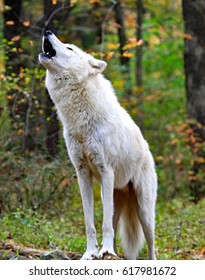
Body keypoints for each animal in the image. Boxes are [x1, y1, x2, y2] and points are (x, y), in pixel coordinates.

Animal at [38, 29, 157, 260]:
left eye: (69, 48)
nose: (47, 31)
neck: (79, 121)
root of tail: (148, 151)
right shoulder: (82, 173)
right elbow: (90, 222)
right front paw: (91, 252)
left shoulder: (106, 171)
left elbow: (104, 225)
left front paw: (105, 250)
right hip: (114, 197)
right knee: (116, 228)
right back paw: (115, 254)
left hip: (144, 211)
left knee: (150, 244)